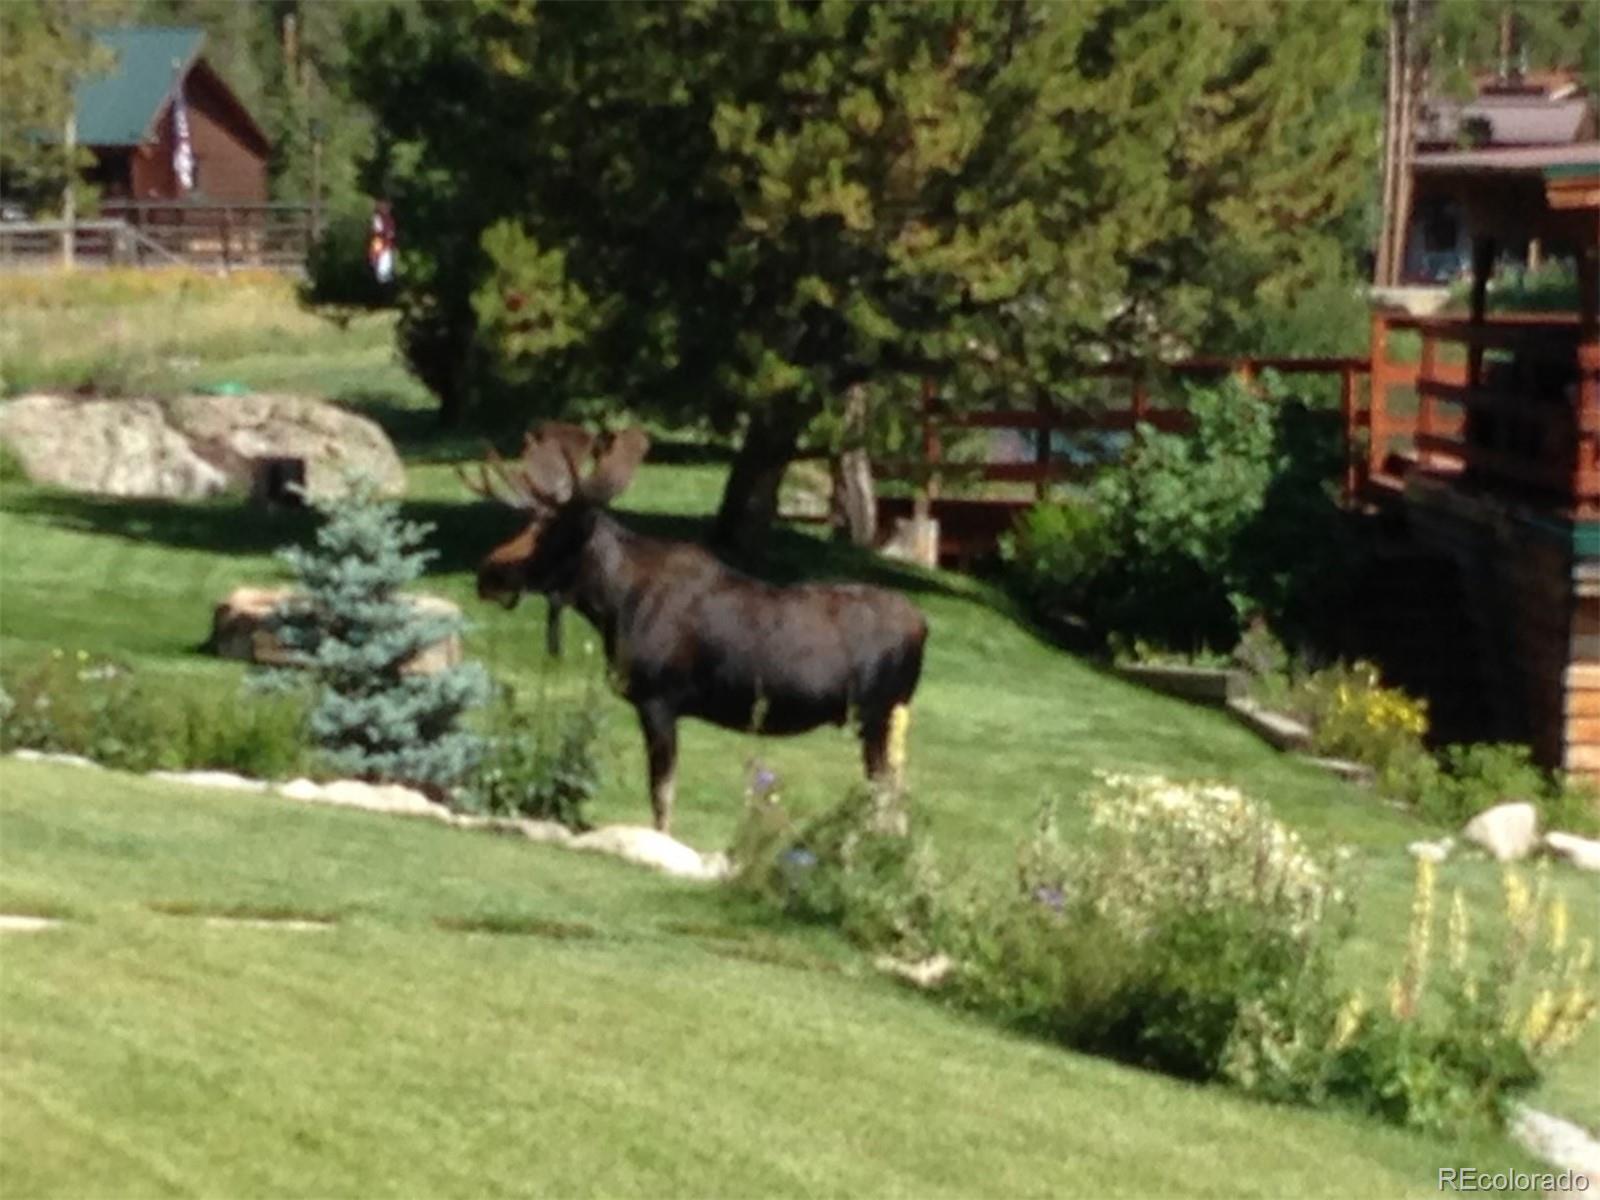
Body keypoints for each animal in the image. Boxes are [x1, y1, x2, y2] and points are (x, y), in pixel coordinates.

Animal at [460, 425, 928, 838]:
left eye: (552, 533)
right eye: (528, 525)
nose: (488, 573)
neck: (612, 604)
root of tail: (923, 626)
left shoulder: (658, 698)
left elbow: (661, 795)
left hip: (880, 713)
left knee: (891, 800)